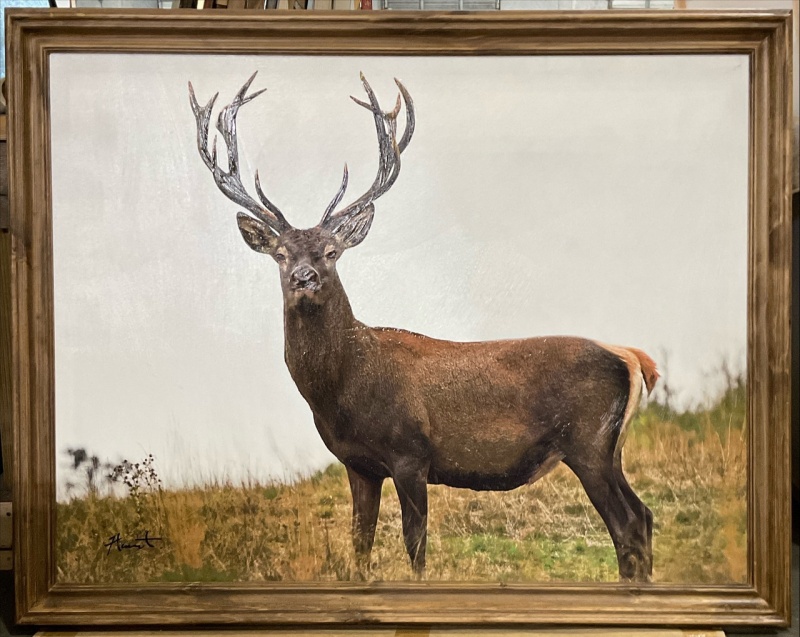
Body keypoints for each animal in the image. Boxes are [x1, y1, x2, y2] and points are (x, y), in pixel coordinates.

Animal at [189, 72, 659, 583]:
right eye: (279, 254)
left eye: (332, 251)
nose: (304, 278)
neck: (343, 390)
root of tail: (634, 358)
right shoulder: (358, 465)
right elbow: (360, 545)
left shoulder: (411, 452)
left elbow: (415, 545)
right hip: (610, 448)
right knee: (644, 516)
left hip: (589, 441)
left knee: (627, 523)